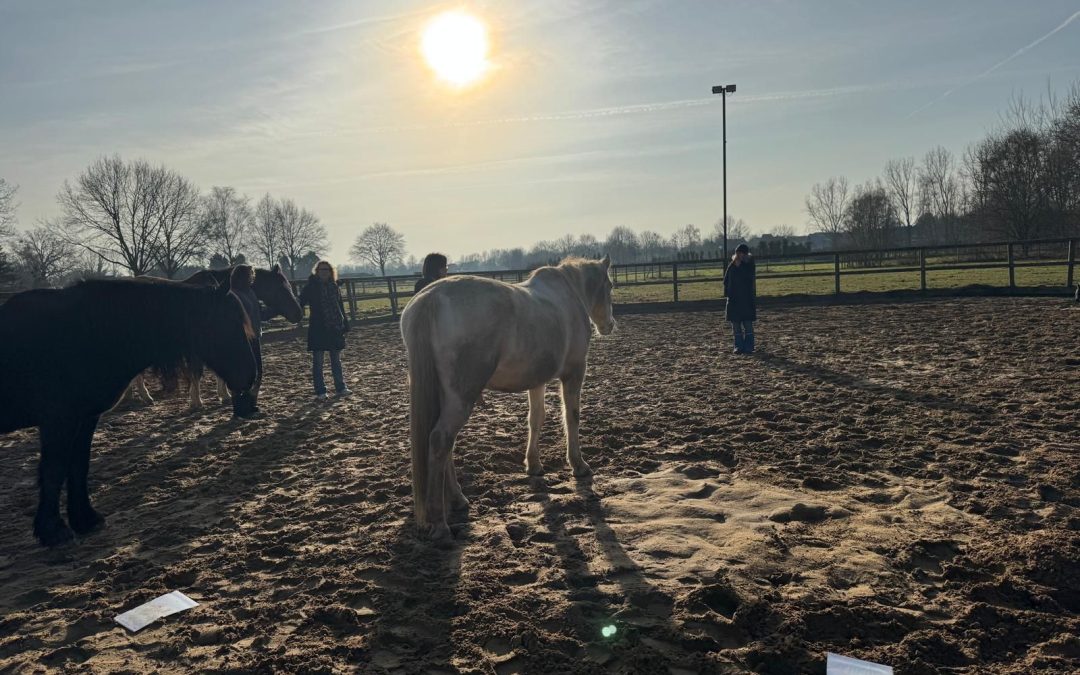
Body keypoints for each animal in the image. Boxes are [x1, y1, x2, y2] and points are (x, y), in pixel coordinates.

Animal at [0, 277, 257, 546]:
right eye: (228, 324)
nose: (250, 376)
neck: (81, 333)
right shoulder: (58, 421)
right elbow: (54, 470)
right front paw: (53, 531)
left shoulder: (85, 418)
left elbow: (78, 465)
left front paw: (85, 519)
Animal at [401, 256, 615, 541]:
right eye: (609, 285)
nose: (609, 325)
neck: (569, 294)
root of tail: (431, 299)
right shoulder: (574, 372)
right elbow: (572, 417)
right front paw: (578, 465)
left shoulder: (537, 380)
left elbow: (536, 419)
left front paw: (533, 464)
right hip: (461, 398)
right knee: (440, 441)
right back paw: (440, 523)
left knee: (444, 446)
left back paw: (458, 499)